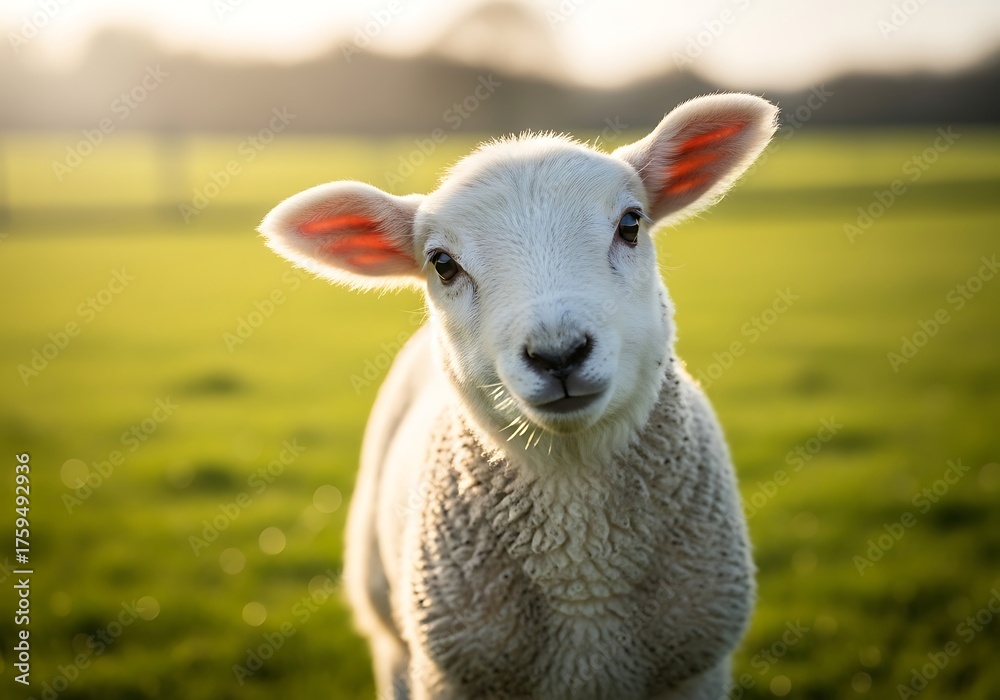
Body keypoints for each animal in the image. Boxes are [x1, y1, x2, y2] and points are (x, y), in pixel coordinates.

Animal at [259, 93, 778, 700]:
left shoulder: (696, 666)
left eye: (631, 223)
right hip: (387, 621)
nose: (558, 354)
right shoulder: (452, 670)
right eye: (442, 263)